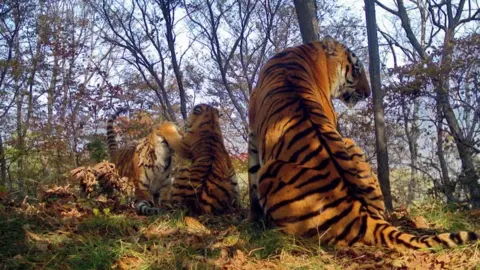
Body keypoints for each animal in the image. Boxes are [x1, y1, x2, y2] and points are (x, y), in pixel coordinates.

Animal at [246, 36, 478, 251]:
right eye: (357, 71)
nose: (368, 93)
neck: (309, 52)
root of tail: (362, 214)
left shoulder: (254, 137)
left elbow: (252, 176)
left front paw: (254, 221)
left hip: (272, 171)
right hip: (350, 146)